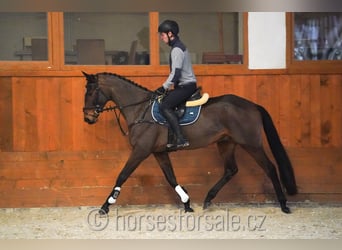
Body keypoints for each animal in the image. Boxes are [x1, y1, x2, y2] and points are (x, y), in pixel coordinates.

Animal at [82, 71, 296, 214]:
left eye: (91, 91)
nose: (88, 117)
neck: (140, 109)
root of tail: (253, 105)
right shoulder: (159, 152)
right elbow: (171, 177)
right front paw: (186, 203)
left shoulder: (141, 150)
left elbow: (122, 175)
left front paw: (105, 206)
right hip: (226, 143)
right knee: (231, 170)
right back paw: (208, 199)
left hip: (251, 144)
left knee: (270, 168)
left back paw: (283, 204)